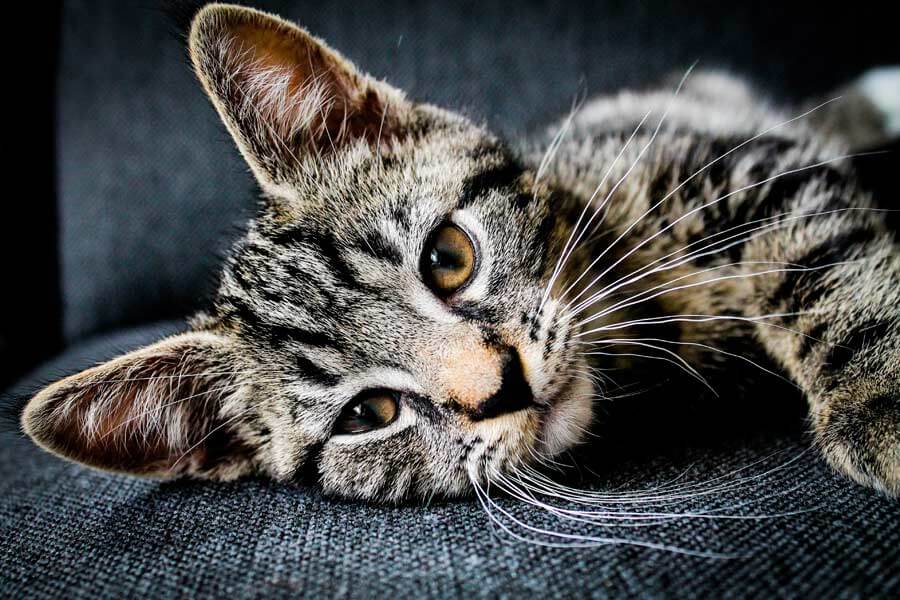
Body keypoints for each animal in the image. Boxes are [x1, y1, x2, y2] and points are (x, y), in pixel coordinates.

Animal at [17, 3, 896, 502]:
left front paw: (878, 397)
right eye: (368, 415)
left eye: (448, 258)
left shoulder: (728, 159)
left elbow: (815, 256)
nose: (503, 385)